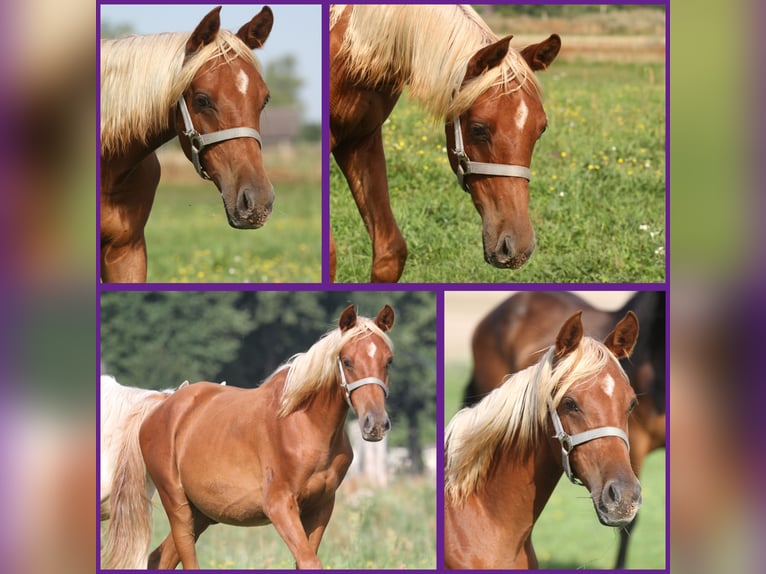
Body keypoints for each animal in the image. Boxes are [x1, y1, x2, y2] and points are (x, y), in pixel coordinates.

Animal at [103, 304, 395, 569]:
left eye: (388, 361)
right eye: (347, 361)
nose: (375, 424)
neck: (304, 424)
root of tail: (162, 406)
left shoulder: (321, 507)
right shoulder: (280, 505)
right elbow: (310, 562)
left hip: (200, 512)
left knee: (159, 558)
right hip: (177, 505)